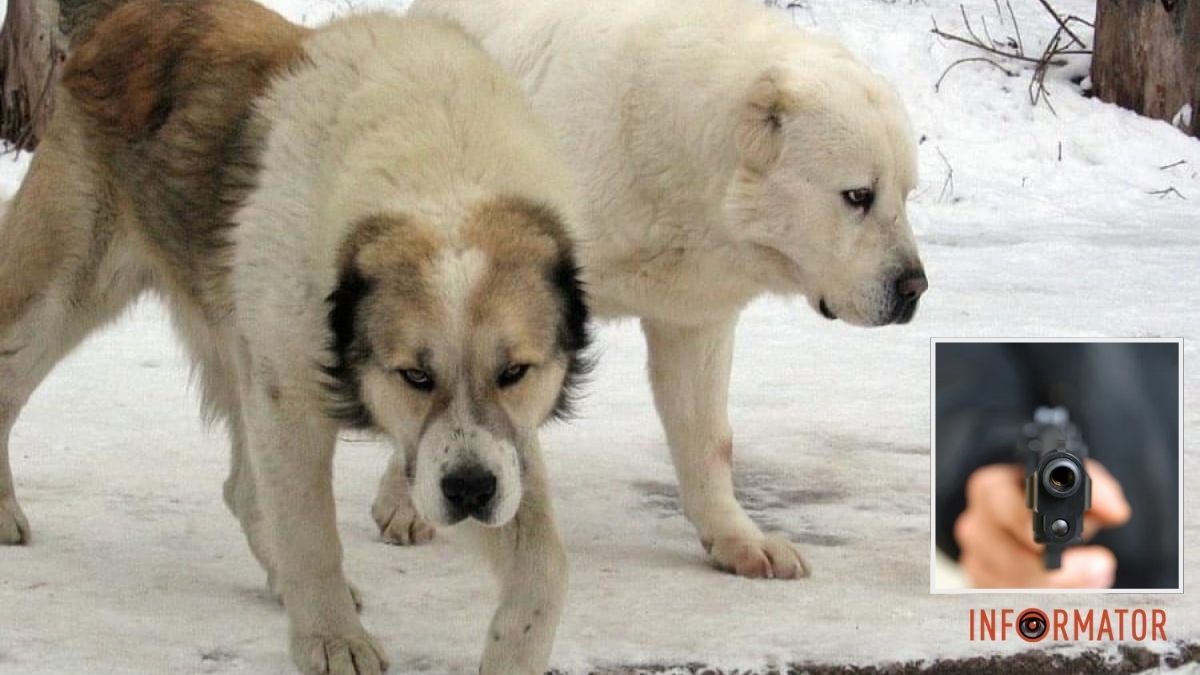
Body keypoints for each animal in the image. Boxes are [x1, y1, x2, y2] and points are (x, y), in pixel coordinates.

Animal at [0, 2, 590, 667]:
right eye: (415, 375)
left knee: (243, 488)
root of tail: (129, 15)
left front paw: (513, 653)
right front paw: (333, 638)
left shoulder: (503, 446)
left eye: (514, 373)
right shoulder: (291, 399)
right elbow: (312, 536)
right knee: (8, 381)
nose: (468, 491)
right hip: (60, 294)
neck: (439, 172)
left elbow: (544, 568)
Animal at [393, 0, 926, 578]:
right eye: (858, 195)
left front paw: (739, 539)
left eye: (906, 194)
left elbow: (709, 438)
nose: (914, 286)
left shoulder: (696, 309)